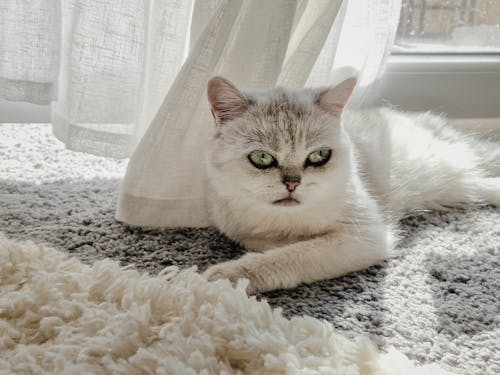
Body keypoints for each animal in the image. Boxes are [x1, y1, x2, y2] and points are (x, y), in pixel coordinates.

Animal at [201, 76, 498, 294]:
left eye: (319, 156)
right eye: (262, 158)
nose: (293, 184)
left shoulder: (366, 235)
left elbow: (292, 255)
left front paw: (227, 276)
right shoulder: (237, 228)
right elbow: (276, 244)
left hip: (456, 168)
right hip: (462, 184)